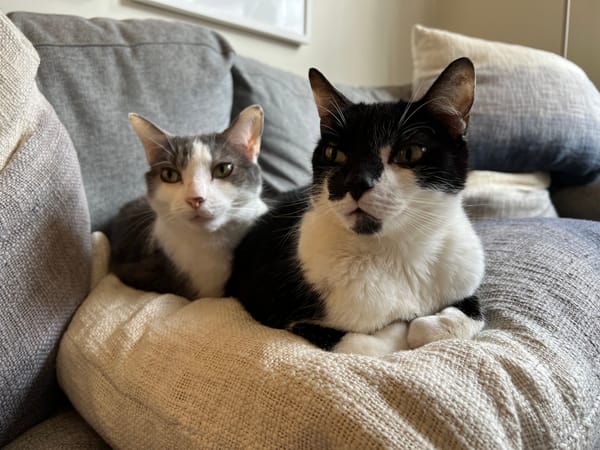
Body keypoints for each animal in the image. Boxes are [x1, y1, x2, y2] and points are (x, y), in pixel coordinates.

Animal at [227, 59, 486, 356]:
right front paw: (404, 325)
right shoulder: (271, 303)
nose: (356, 182)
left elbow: (471, 312)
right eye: (334, 153)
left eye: (410, 153)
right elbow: (373, 342)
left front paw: (431, 322)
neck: (397, 253)